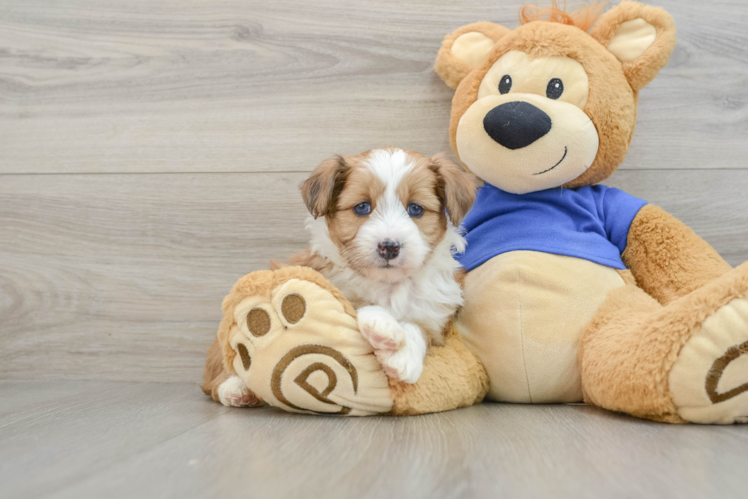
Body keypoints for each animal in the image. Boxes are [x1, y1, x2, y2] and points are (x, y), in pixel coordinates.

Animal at [290, 147, 476, 382]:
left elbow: (418, 327)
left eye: (415, 209)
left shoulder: (435, 321)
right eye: (362, 207)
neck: (388, 285)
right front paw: (384, 326)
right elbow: (352, 303)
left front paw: (404, 356)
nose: (389, 247)